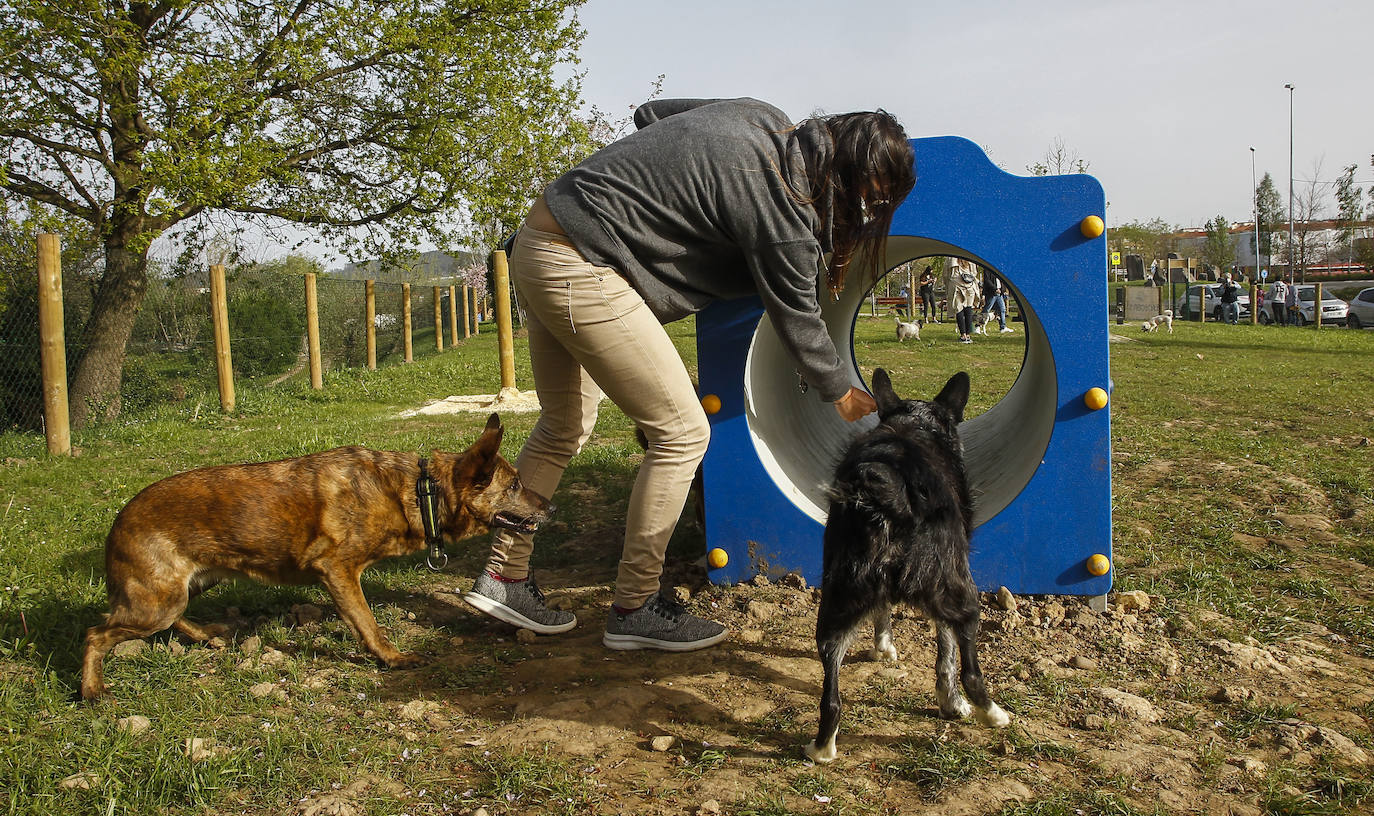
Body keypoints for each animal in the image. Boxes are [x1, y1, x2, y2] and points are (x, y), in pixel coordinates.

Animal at [81, 412, 546, 697]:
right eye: (515, 485)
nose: (550, 507)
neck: (418, 492)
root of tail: (118, 520)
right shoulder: (337, 570)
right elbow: (368, 624)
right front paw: (392, 658)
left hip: (189, 586)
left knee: (170, 619)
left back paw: (205, 636)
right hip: (157, 602)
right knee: (96, 634)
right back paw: (91, 690)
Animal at [802, 368, 1011, 763]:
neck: (913, 424)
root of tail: (890, 493)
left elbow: (883, 613)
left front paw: (883, 647)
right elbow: (947, 656)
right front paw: (951, 704)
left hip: (837, 602)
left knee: (831, 697)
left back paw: (822, 748)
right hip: (961, 592)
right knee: (971, 672)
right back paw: (993, 714)